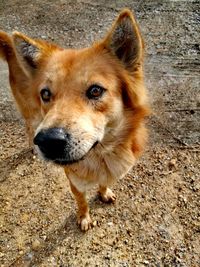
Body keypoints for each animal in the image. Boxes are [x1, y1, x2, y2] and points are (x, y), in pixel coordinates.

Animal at [0, 9, 149, 231]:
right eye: (45, 94)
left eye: (95, 90)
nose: (48, 141)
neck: (101, 155)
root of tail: (10, 43)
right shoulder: (75, 182)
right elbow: (82, 202)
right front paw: (84, 218)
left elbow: (104, 184)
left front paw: (104, 193)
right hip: (30, 112)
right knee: (28, 127)